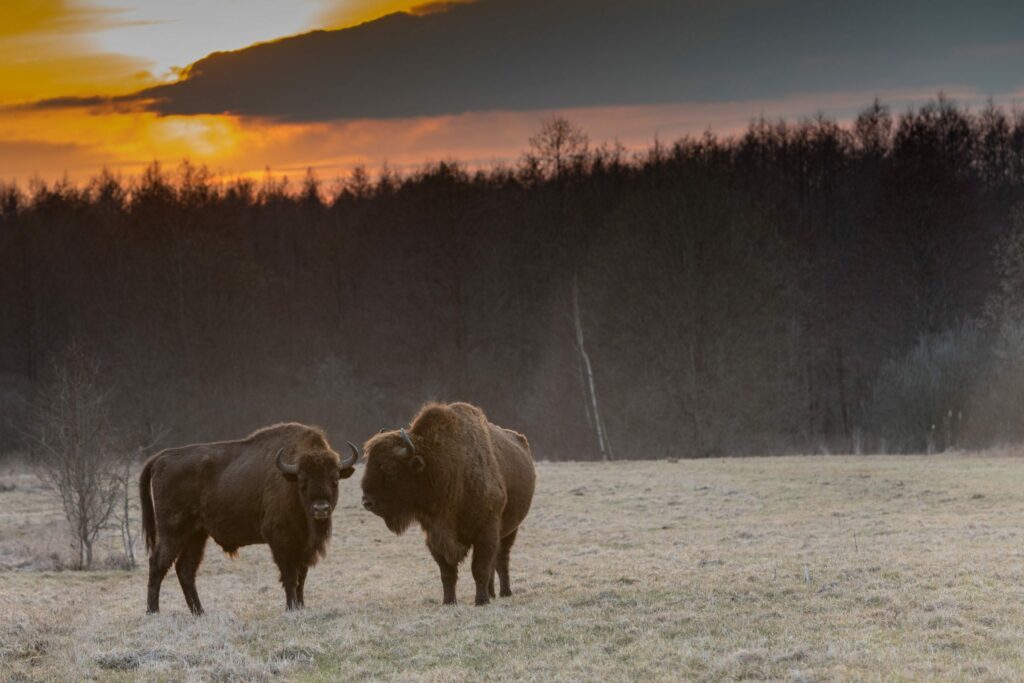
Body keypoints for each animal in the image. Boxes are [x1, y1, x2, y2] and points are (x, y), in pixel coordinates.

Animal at [138, 421, 358, 614]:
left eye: (335, 479)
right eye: (302, 481)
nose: (321, 509)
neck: (290, 480)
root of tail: (161, 458)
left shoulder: (303, 546)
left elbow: (301, 578)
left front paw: (301, 606)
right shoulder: (281, 541)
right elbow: (289, 576)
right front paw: (291, 608)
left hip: (196, 535)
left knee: (185, 569)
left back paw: (199, 612)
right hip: (173, 531)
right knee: (158, 564)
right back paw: (153, 612)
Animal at [360, 403, 536, 606]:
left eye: (390, 468)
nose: (367, 501)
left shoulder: (486, 531)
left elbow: (480, 568)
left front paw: (481, 601)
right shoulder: (434, 537)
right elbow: (447, 573)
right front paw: (449, 601)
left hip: (511, 530)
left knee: (501, 559)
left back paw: (504, 592)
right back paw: (492, 593)